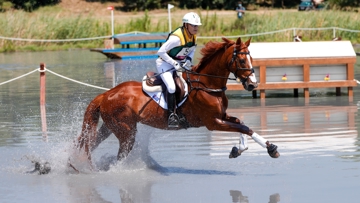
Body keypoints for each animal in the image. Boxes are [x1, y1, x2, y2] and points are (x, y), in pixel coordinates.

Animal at [73, 36, 280, 170]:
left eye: (251, 58)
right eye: (242, 60)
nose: (252, 84)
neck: (207, 85)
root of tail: (106, 94)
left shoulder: (222, 116)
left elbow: (243, 124)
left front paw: (246, 148)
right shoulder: (213, 122)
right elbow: (244, 127)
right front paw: (265, 148)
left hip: (110, 127)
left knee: (90, 142)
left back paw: (73, 165)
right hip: (126, 132)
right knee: (117, 154)